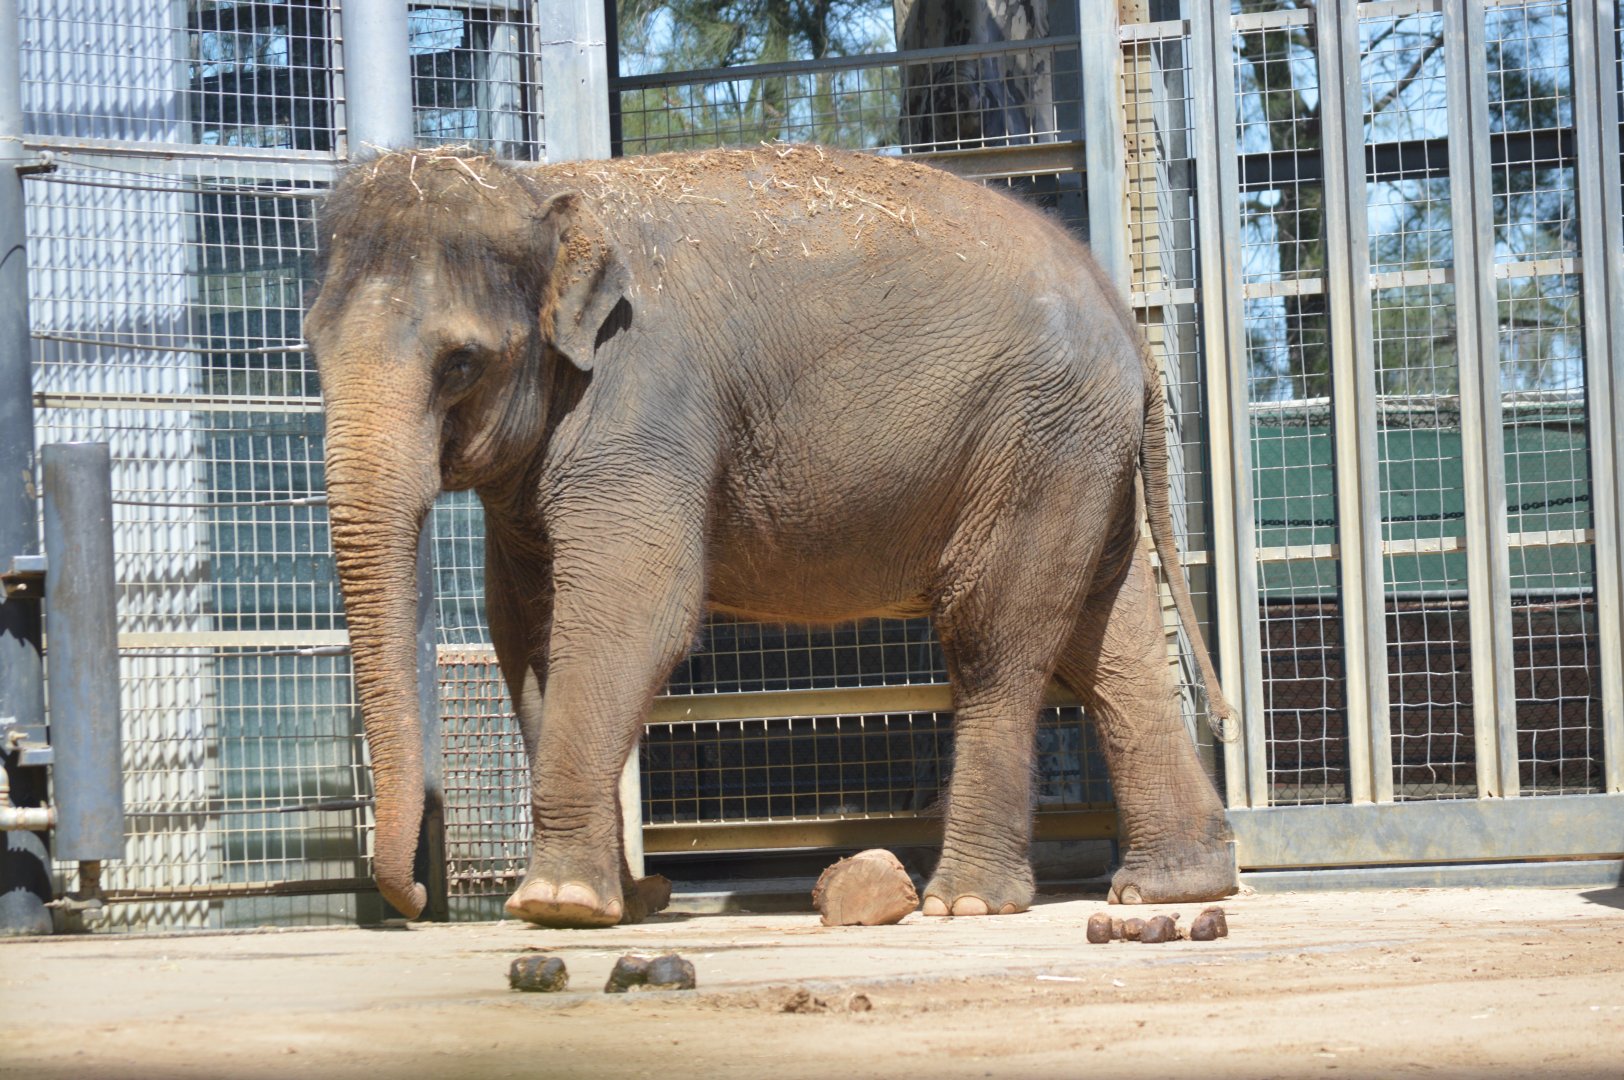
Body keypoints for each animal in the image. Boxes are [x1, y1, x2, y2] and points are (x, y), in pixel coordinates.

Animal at [304, 144, 1238, 928]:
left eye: (459, 362)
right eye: (309, 348)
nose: (415, 896)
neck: (541, 187)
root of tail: (1124, 318)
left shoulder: (642, 402)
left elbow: (630, 611)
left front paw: (557, 906)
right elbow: (522, 629)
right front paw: (620, 903)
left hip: (1037, 437)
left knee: (995, 637)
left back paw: (965, 902)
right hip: (1077, 452)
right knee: (1108, 640)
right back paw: (1170, 886)